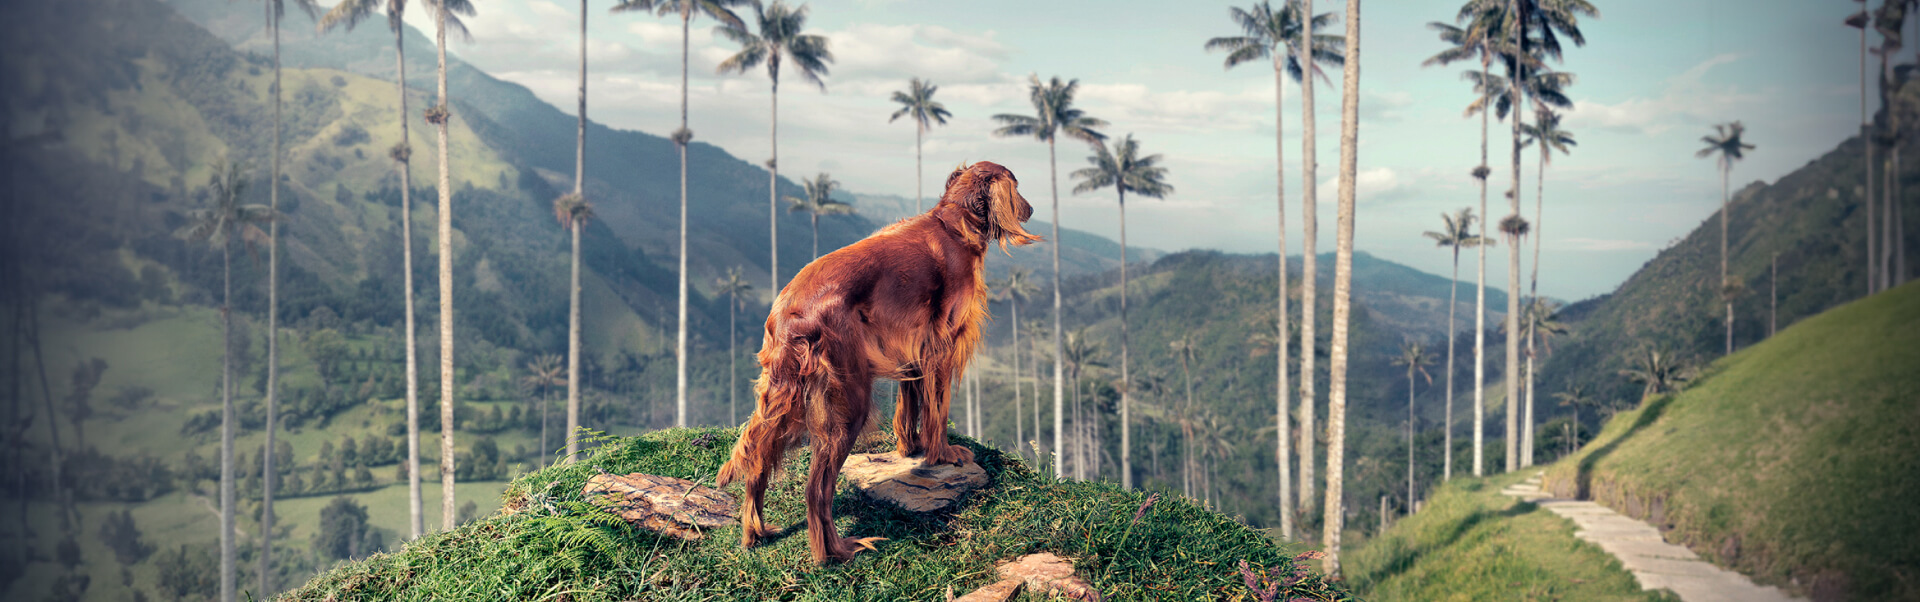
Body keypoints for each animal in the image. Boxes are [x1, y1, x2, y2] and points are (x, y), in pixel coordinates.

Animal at [714, 161, 1036, 563]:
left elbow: (911, 405)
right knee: (816, 489)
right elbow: (938, 410)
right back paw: (837, 552)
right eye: (1018, 187)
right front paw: (943, 454)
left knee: (758, 460)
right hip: (848, 402)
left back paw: (755, 532)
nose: (1031, 209)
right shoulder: (942, 346)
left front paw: (911, 448)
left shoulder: (913, 347)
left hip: (782, 394)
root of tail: (789, 313)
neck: (953, 222)